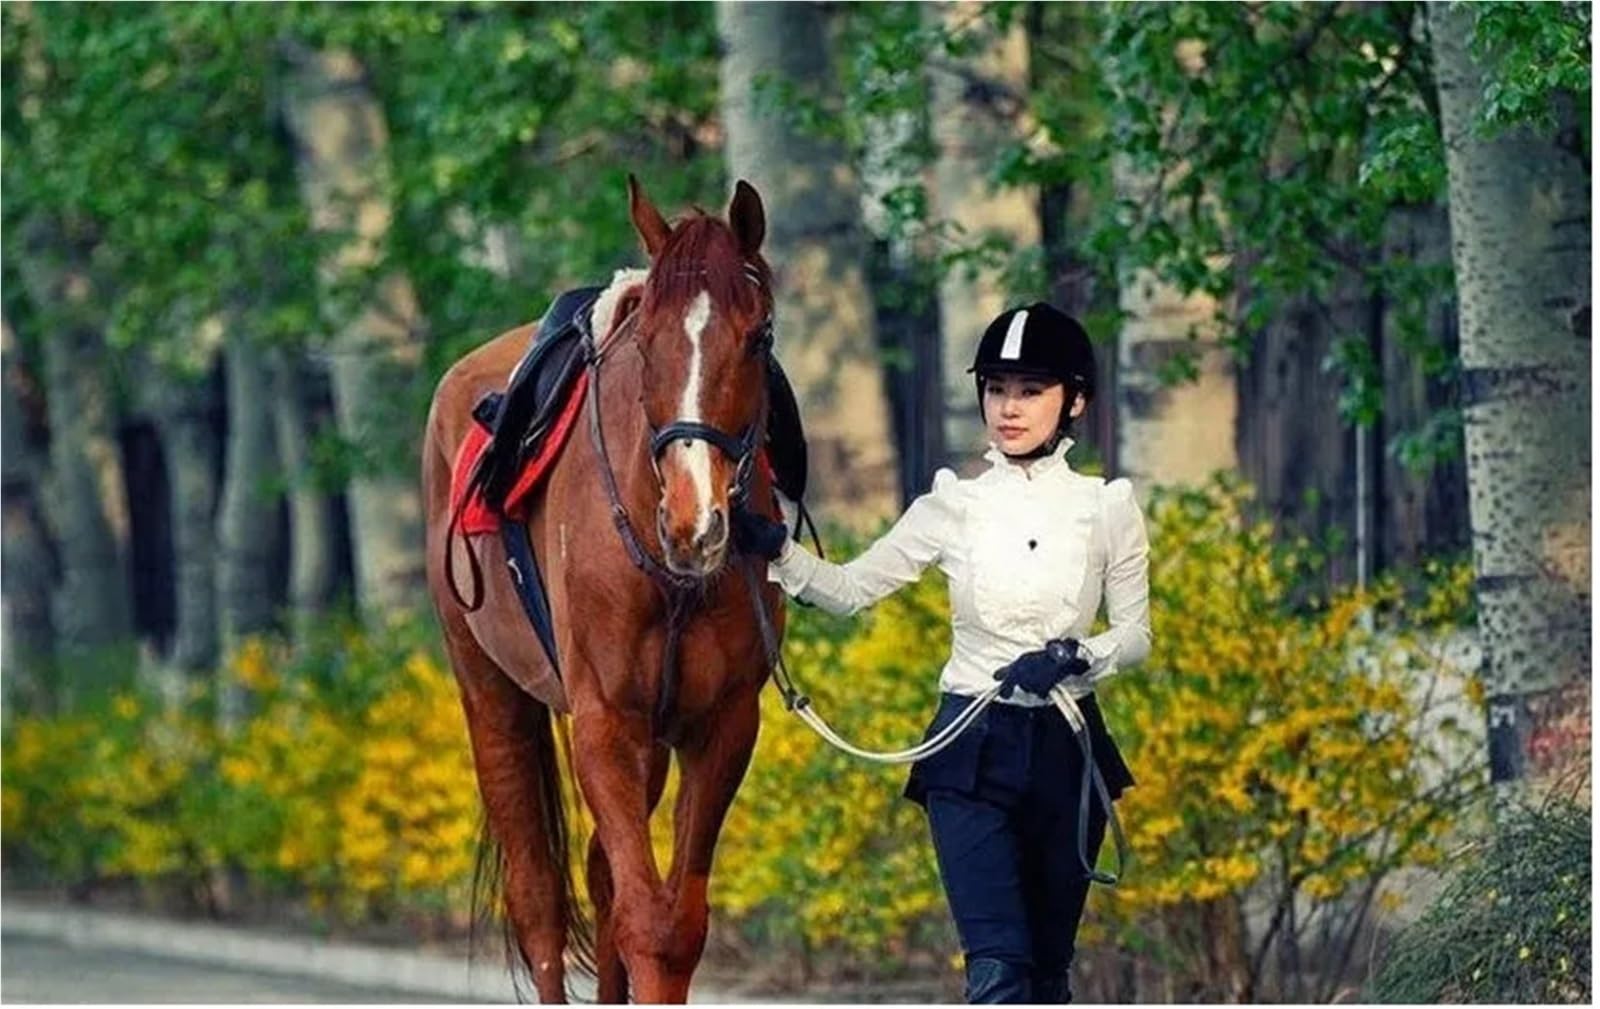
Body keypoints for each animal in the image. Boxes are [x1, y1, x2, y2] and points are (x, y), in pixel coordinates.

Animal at [422, 176, 785, 1003]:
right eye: (647, 342)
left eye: (758, 338)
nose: (694, 522)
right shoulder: (604, 723)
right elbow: (646, 919)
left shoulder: (721, 725)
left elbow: (669, 921)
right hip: (489, 692)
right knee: (539, 898)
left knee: (599, 876)